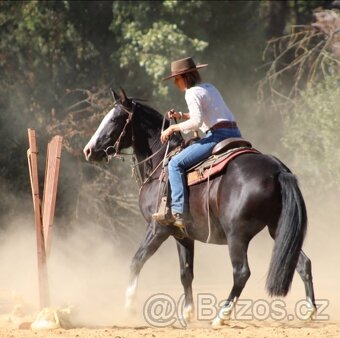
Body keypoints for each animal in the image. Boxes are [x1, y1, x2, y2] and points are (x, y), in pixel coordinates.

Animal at [83, 89, 318, 324]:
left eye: (115, 119)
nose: (89, 150)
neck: (161, 164)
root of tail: (278, 170)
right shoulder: (182, 234)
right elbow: (186, 272)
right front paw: (187, 313)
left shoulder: (158, 228)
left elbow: (136, 261)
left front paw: (129, 306)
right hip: (277, 229)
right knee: (301, 263)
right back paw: (310, 311)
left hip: (237, 235)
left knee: (241, 272)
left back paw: (220, 316)